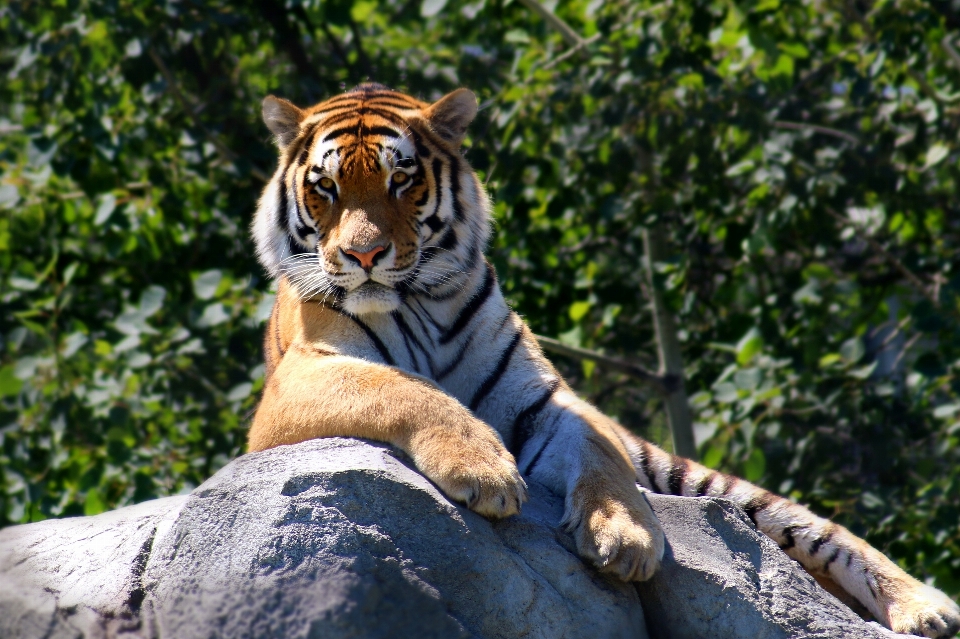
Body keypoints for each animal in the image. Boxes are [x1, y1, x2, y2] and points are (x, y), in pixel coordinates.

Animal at [248, 85, 960, 639]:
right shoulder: (299, 383)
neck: (420, 300)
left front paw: (627, 538)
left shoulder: (546, 400)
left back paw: (926, 608)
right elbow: (404, 389)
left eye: (402, 179)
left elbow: (598, 453)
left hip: (705, 481)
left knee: (819, 531)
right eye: (326, 188)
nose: (363, 256)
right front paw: (485, 471)